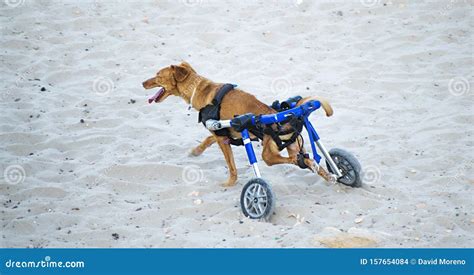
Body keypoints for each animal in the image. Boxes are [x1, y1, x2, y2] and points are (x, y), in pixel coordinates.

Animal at [143, 62, 336, 188]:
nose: (142, 83)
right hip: (294, 146)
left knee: (296, 160)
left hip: (268, 154)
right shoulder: (221, 133)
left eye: (158, 76)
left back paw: (304, 162)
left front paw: (229, 183)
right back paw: (331, 176)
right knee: (313, 161)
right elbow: (207, 140)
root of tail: (286, 117)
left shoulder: (222, 139)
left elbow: (231, 167)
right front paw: (195, 151)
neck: (198, 89)